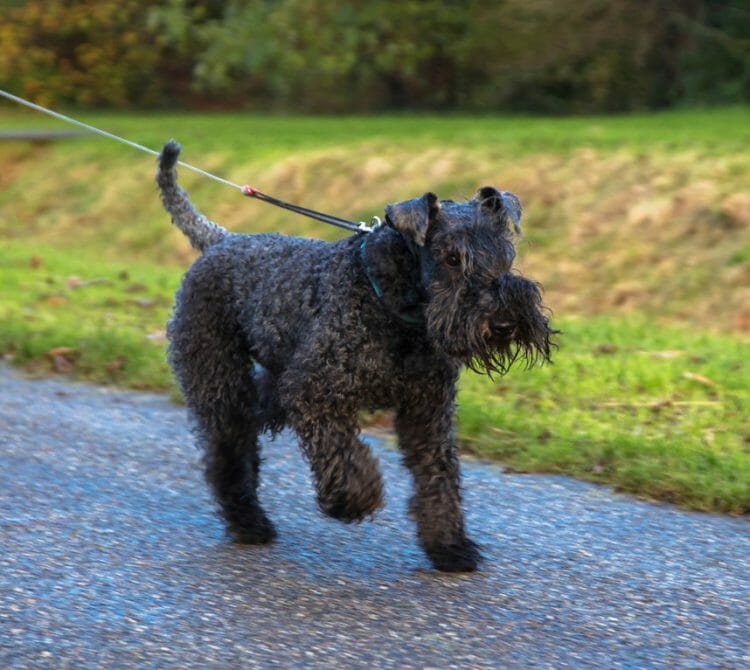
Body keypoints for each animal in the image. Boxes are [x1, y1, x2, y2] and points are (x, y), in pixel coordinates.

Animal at [156, 142, 556, 572]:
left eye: (505, 252)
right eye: (452, 257)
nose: (503, 323)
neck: (391, 301)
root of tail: (219, 241)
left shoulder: (427, 410)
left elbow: (437, 474)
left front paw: (449, 546)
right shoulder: (317, 393)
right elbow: (344, 454)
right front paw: (352, 500)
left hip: (270, 381)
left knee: (250, 422)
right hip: (220, 378)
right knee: (226, 451)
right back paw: (248, 522)